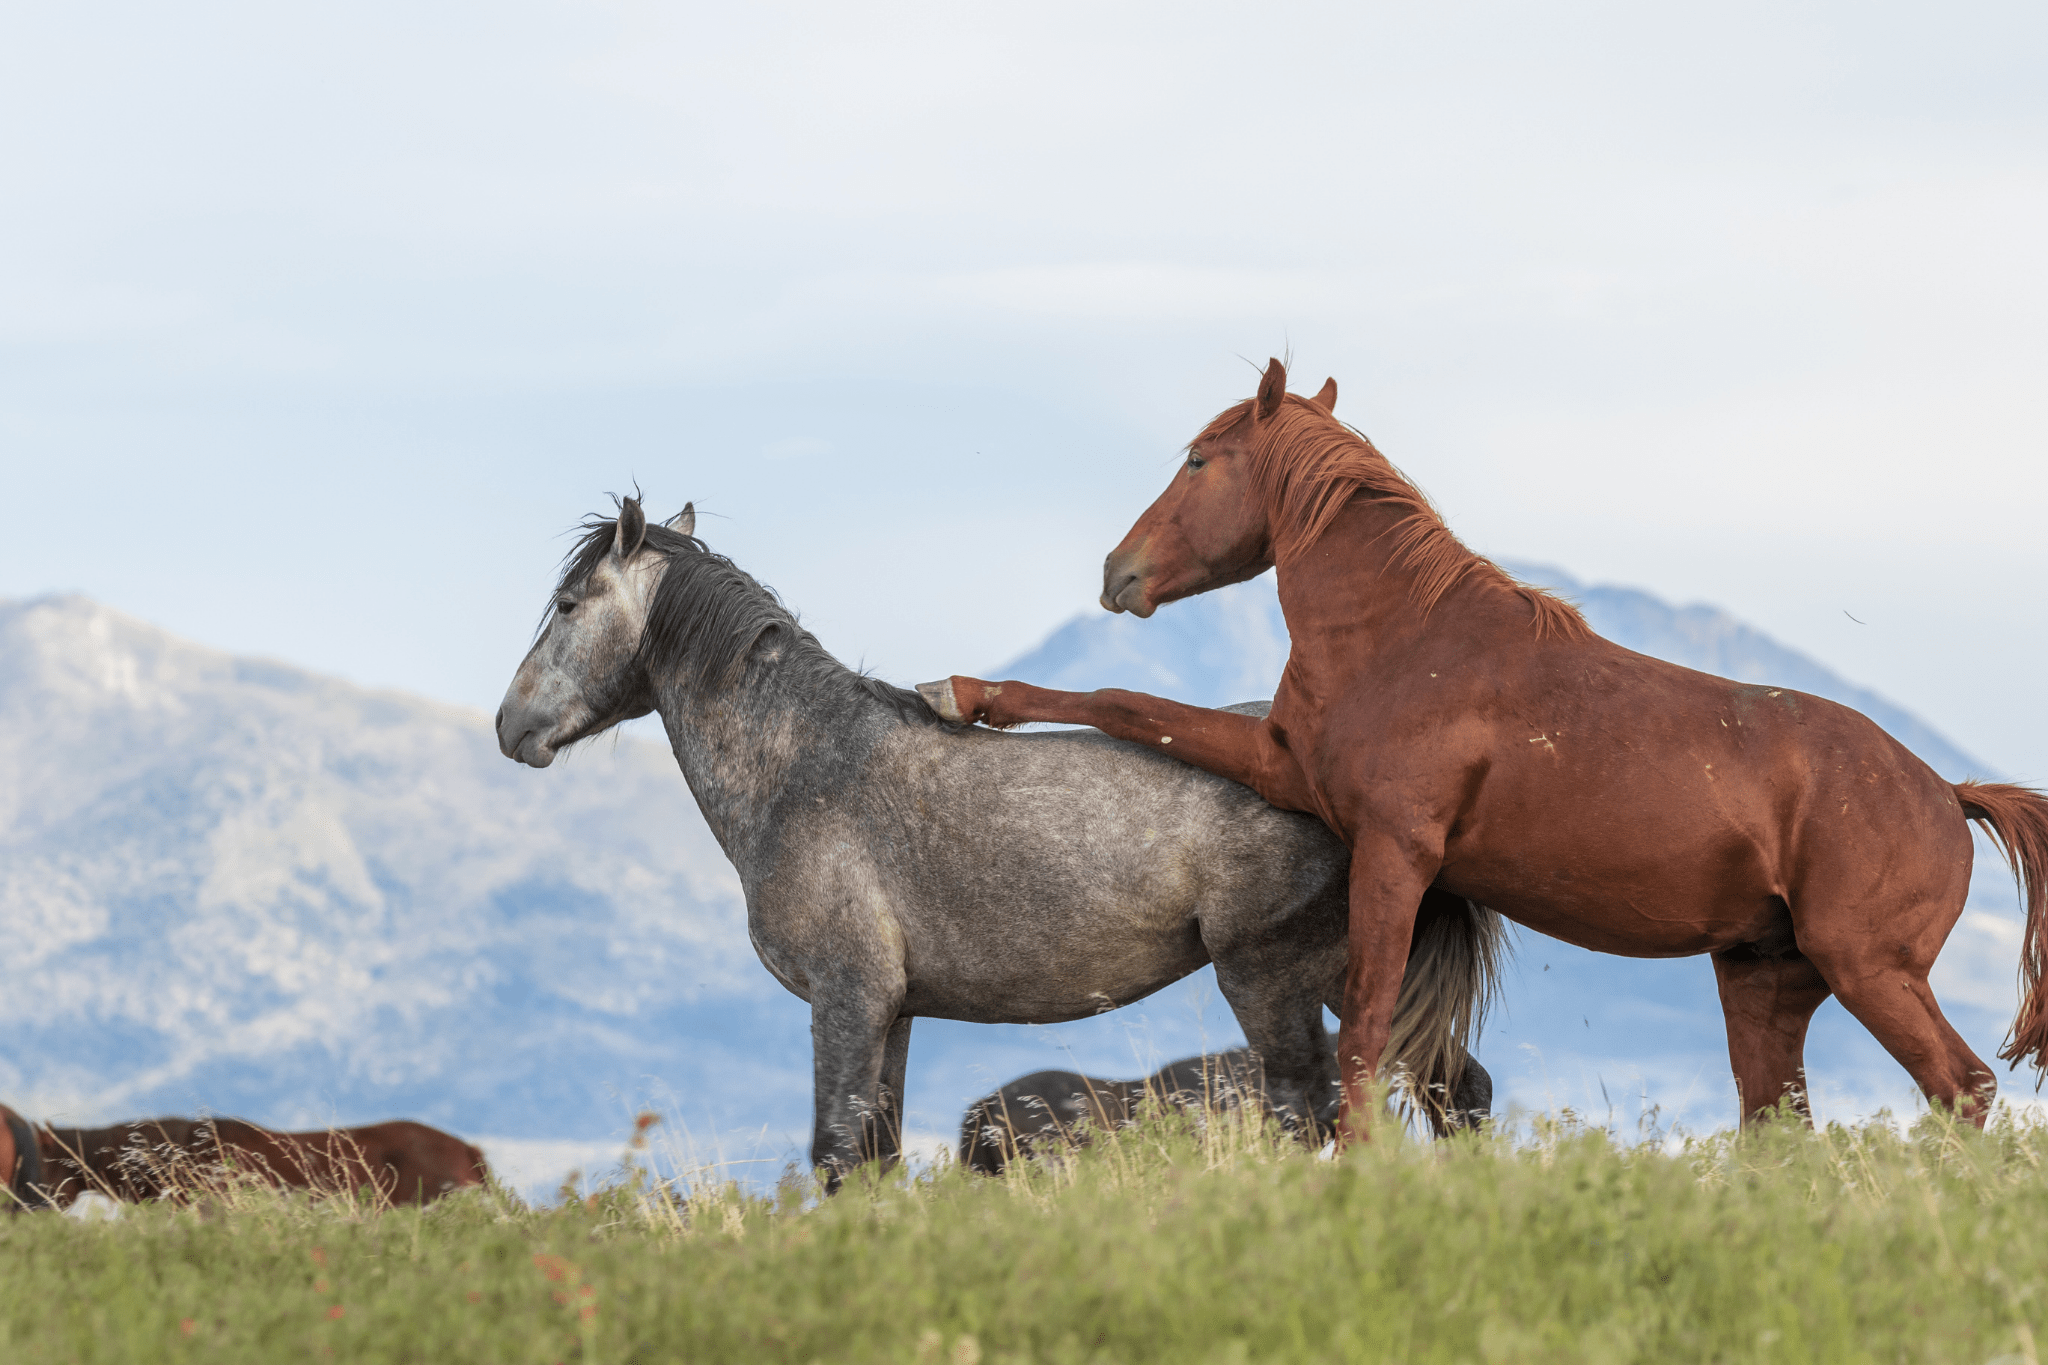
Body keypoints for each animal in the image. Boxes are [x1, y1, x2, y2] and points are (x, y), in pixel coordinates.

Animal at [487, 499, 1499, 1186]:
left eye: (569, 603)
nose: (509, 724)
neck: (808, 765)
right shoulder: (893, 1013)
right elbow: (876, 1154)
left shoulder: (845, 1001)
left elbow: (834, 1154)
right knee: (1457, 1091)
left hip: (1273, 981)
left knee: (1310, 1108)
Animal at [925, 360, 2048, 1146]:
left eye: (1199, 459)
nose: (1118, 573)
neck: (1406, 638)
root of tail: (1946, 793)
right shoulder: (1285, 765)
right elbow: (1126, 701)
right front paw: (966, 693)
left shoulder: (1395, 851)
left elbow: (1367, 1032)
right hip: (1765, 983)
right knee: (1778, 1120)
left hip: (1869, 971)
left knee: (1961, 1087)